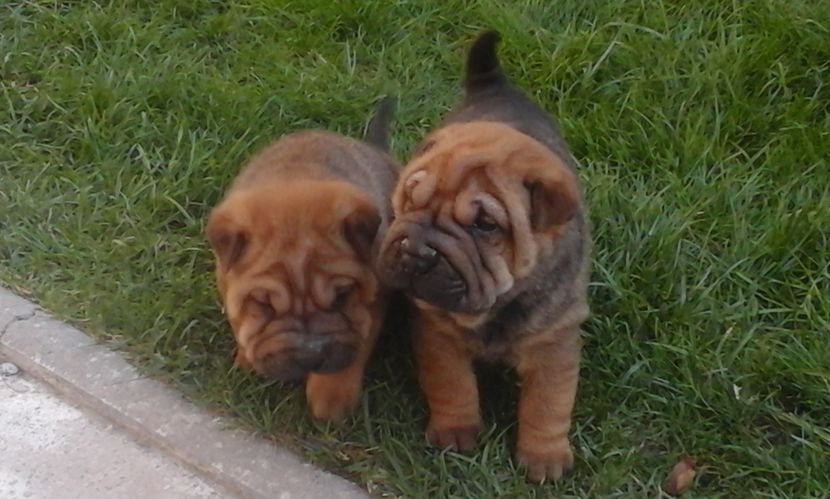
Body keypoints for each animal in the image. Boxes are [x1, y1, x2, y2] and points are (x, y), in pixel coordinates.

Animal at [378, 32, 592, 484]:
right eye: (410, 198)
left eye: (485, 225)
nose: (414, 252)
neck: (496, 304)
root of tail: (495, 84)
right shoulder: (438, 332)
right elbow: (452, 383)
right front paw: (456, 431)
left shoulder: (555, 340)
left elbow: (550, 401)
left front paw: (544, 456)